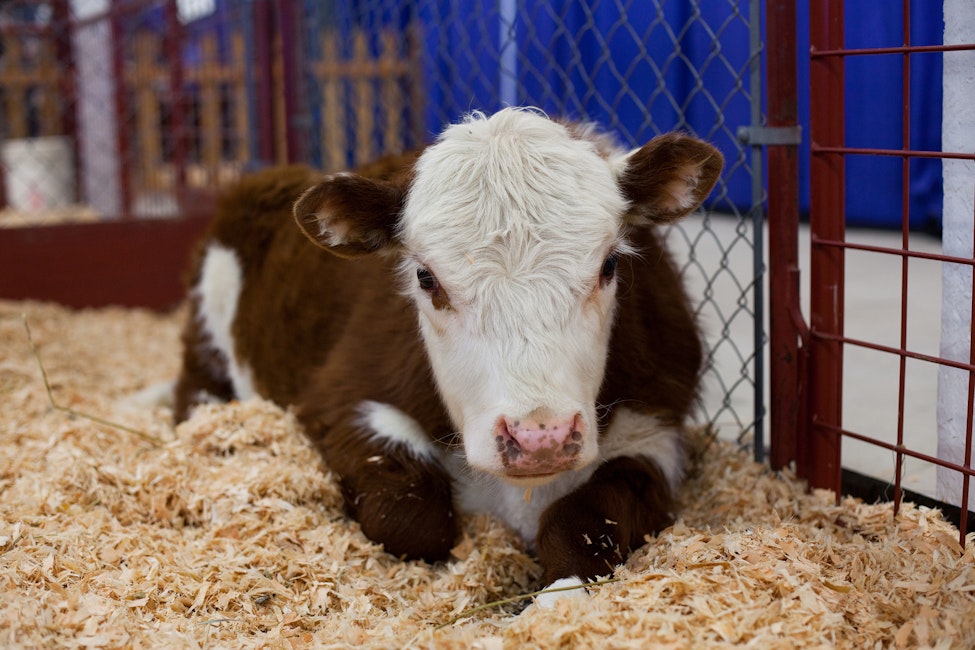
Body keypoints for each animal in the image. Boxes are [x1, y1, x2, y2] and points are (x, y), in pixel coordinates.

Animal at [173, 108, 722, 591]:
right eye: (425, 277)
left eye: (609, 264)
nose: (538, 438)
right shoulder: (338, 398)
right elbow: (417, 516)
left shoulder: (656, 428)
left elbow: (584, 517)